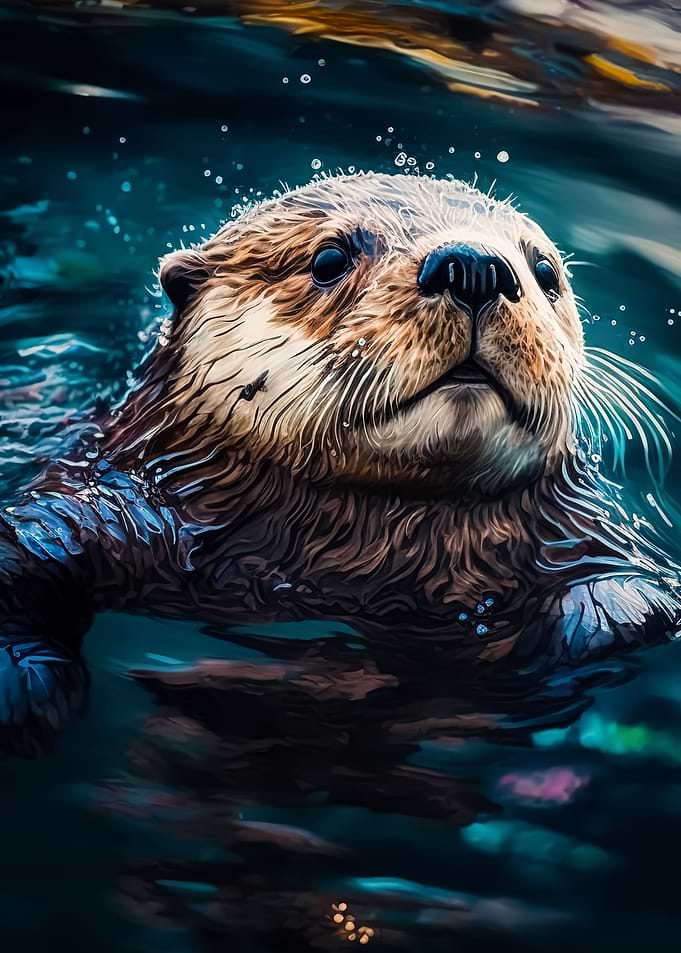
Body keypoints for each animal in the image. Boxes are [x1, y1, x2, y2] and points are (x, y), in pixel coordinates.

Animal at [0, 172, 679, 755]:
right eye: (329, 259)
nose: (476, 265)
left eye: (544, 270)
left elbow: (632, 601)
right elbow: (24, 547)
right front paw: (24, 686)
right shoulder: (113, 500)